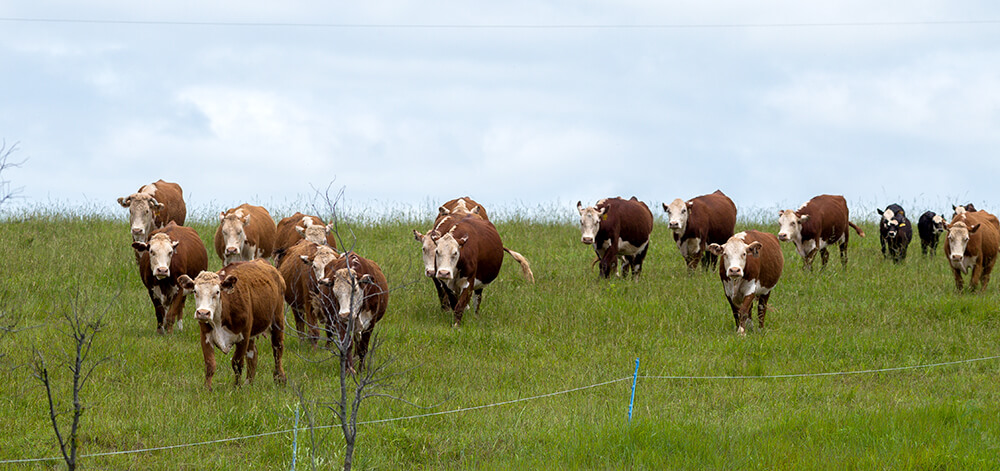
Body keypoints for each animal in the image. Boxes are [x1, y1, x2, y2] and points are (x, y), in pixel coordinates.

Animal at [178, 260, 288, 390]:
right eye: (195, 291)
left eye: (217, 292)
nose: (203, 313)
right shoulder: (205, 336)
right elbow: (210, 364)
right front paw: (207, 389)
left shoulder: (243, 337)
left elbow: (237, 363)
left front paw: (237, 387)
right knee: (253, 354)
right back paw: (249, 383)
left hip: (277, 322)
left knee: (277, 351)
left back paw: (280, 379)